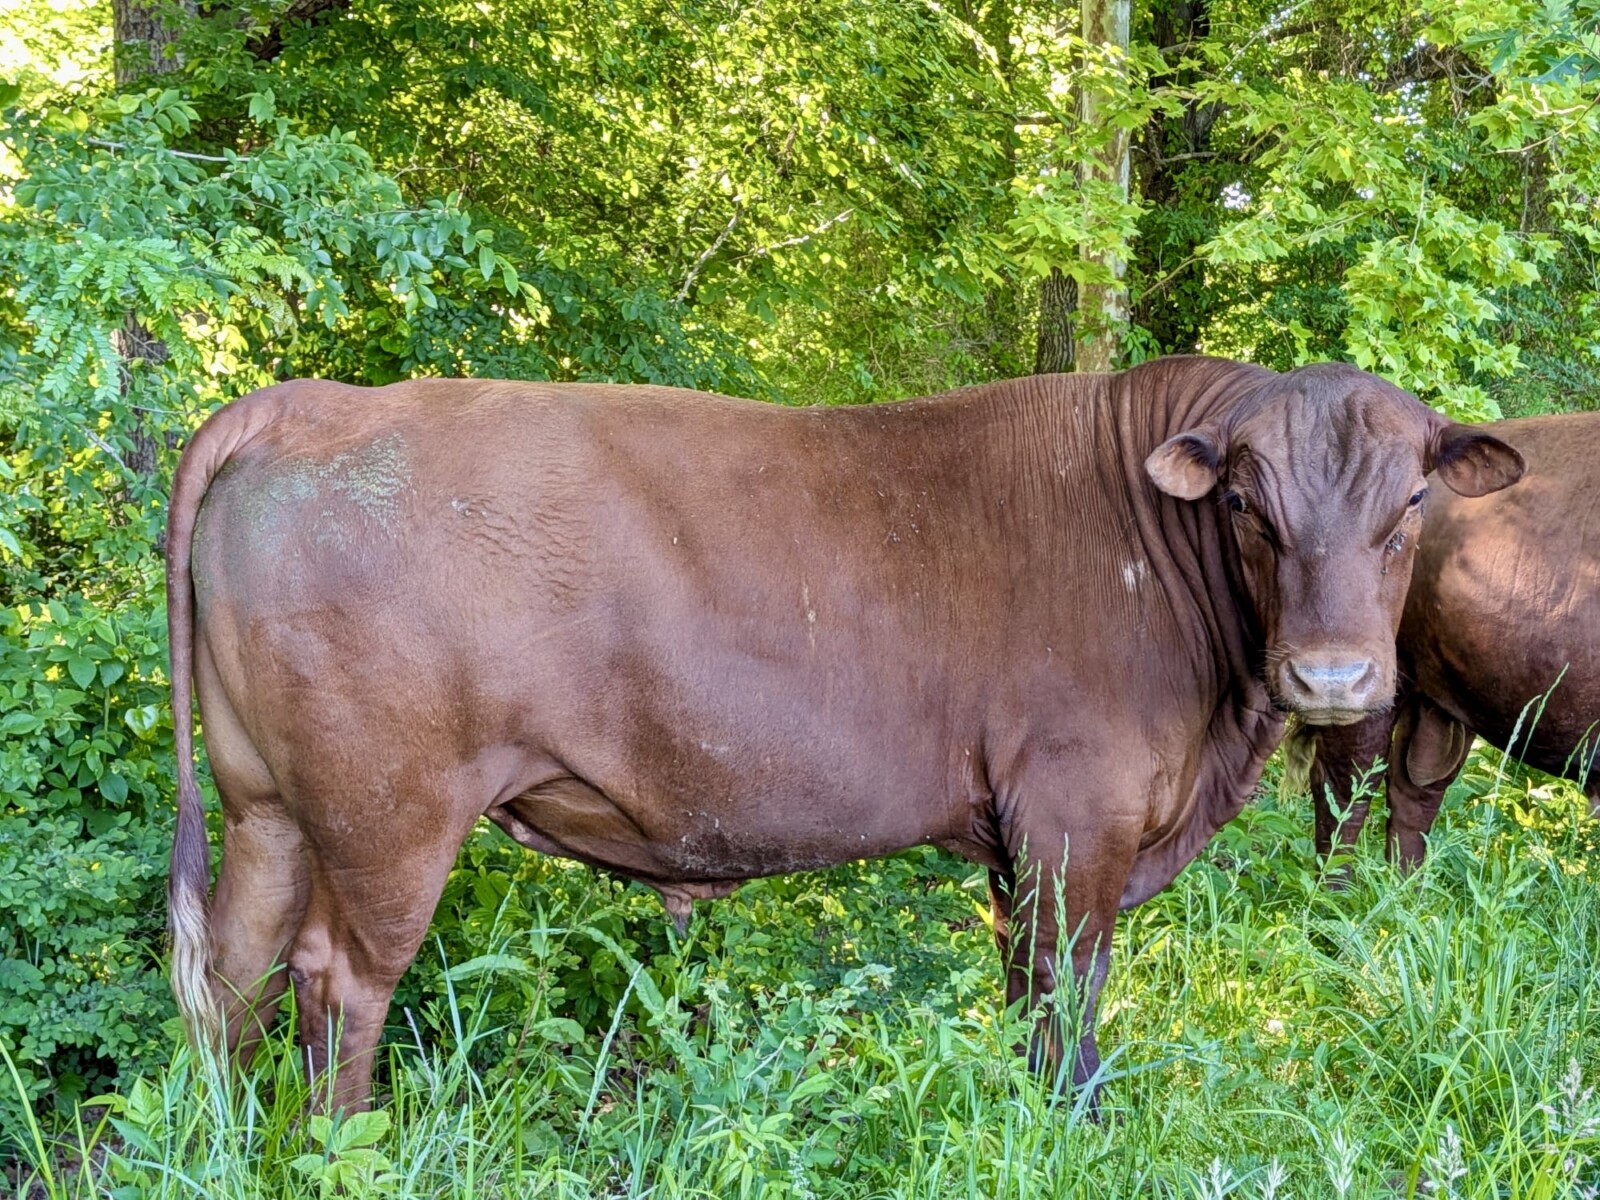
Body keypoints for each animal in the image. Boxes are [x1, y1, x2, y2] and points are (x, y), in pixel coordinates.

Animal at [164, 356, 1523, 1113]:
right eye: (1245, 502)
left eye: (1411, 501)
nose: (1333, 674)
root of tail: (313, 405)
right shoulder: (1073, 818)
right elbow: (1067, 1001)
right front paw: (1075, 1130)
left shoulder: (1017, 838)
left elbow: (1023, 992)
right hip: (387, 809)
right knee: (338, 979)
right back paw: (341, 1143)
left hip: (267, 802)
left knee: (229, 967)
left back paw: (216, 1136)